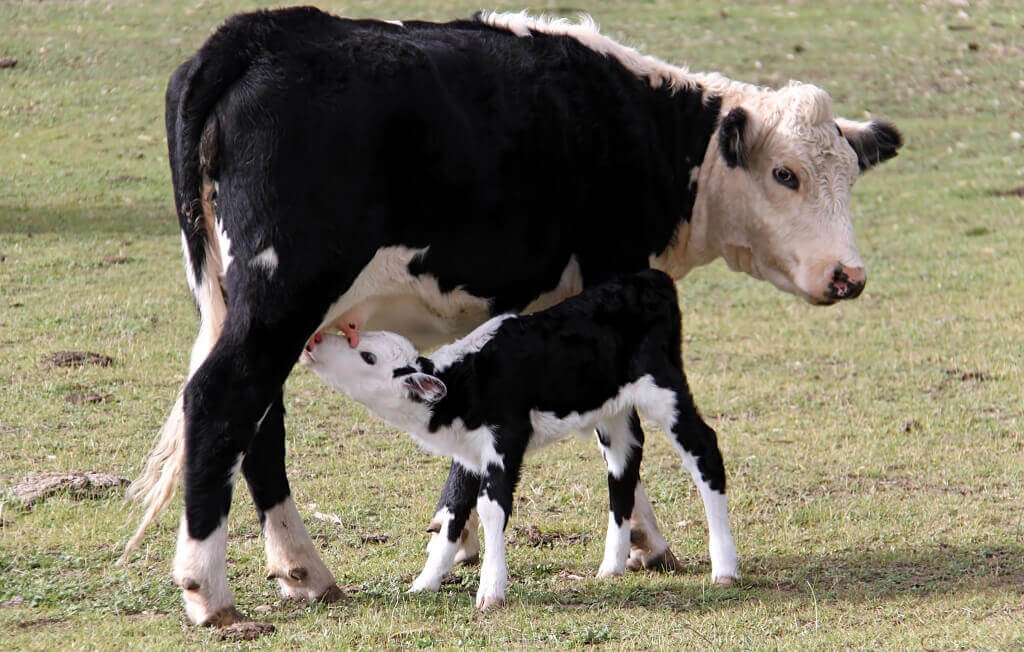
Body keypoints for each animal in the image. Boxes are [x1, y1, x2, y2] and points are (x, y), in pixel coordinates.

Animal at [299, 266, 733, 605]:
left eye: (367, 357)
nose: (314, 340)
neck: (465, 383)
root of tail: (651, 278)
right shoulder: (468, 452)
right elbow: (453, 511)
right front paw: (424, 583)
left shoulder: (505, 441)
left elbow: (491, 509)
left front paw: (491, 591)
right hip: (613, 412)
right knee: (623, 466)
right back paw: (611, 566)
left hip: (665, 388)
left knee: (704, 449)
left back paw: (725, 566)